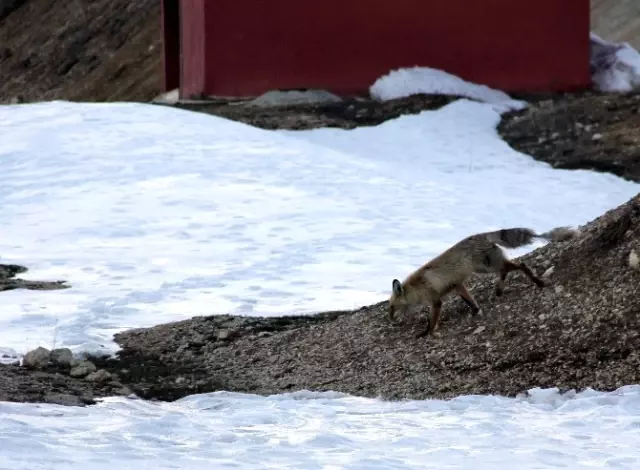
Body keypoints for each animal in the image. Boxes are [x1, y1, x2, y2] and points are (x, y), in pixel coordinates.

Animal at [388, 225, 576, 338]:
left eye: (392, 307)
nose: (390, 319)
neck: (418, 287)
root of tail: (481, 235)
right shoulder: (457, 285)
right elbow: (470, 300)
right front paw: (476, 311)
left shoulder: (436, 300)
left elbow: (432, 321)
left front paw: (426, 333)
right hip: (487, 268)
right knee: (505, 270)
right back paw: (499, 291)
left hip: (487, 266)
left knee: (519, 265)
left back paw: (537, 281)